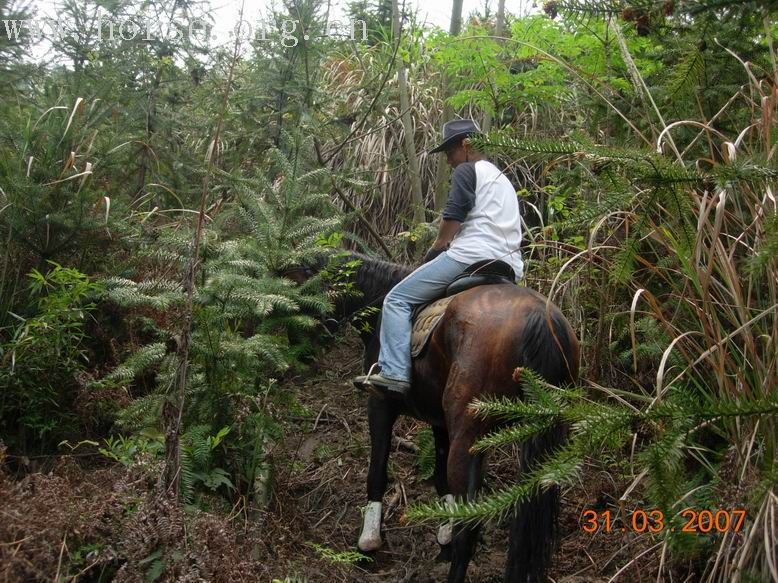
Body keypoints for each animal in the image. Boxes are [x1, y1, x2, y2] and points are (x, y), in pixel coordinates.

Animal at [292, 254, 576, 583]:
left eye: (300, 288)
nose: (301, 357)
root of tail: (540, 319)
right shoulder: (439, 422)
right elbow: (440, 478)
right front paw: (444, 533)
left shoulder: (379, 404)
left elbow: (377, 470)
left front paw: (369, 540)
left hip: (469, 435)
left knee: (471, 529)